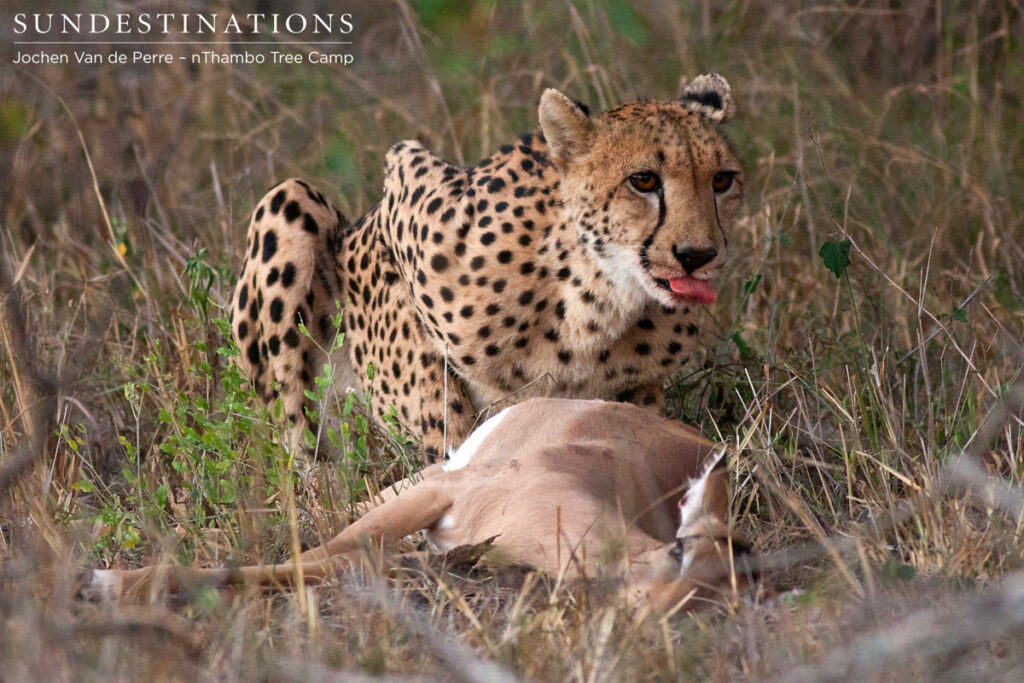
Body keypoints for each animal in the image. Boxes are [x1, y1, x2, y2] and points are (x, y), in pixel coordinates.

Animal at [86, 398, 751, 610]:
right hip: (424, 478)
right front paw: (111, 582)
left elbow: (321, 566)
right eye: (682, 548)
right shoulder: (439, 496)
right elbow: (308, 558)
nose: (656, 611)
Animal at [230, 73, 744, 462]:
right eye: (643, 180)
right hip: (288, 201)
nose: (698, 256)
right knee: (297, 445)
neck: (596, 295)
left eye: (722, 180)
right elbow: (429, 370)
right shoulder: (403, 184)